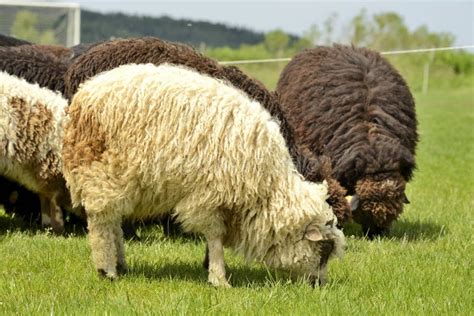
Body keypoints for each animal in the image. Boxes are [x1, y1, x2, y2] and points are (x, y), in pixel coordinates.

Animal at [62, 63, 344, 288]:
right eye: (323, 249)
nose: (320, 285)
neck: (267, 188)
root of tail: (83, 94)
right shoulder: (210, 197)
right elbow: (215, 237)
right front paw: (219, 278)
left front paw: (210, 267)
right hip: (101, 172)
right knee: (101, 223)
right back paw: (107, 270)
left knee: (114, 221)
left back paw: (121, 263)